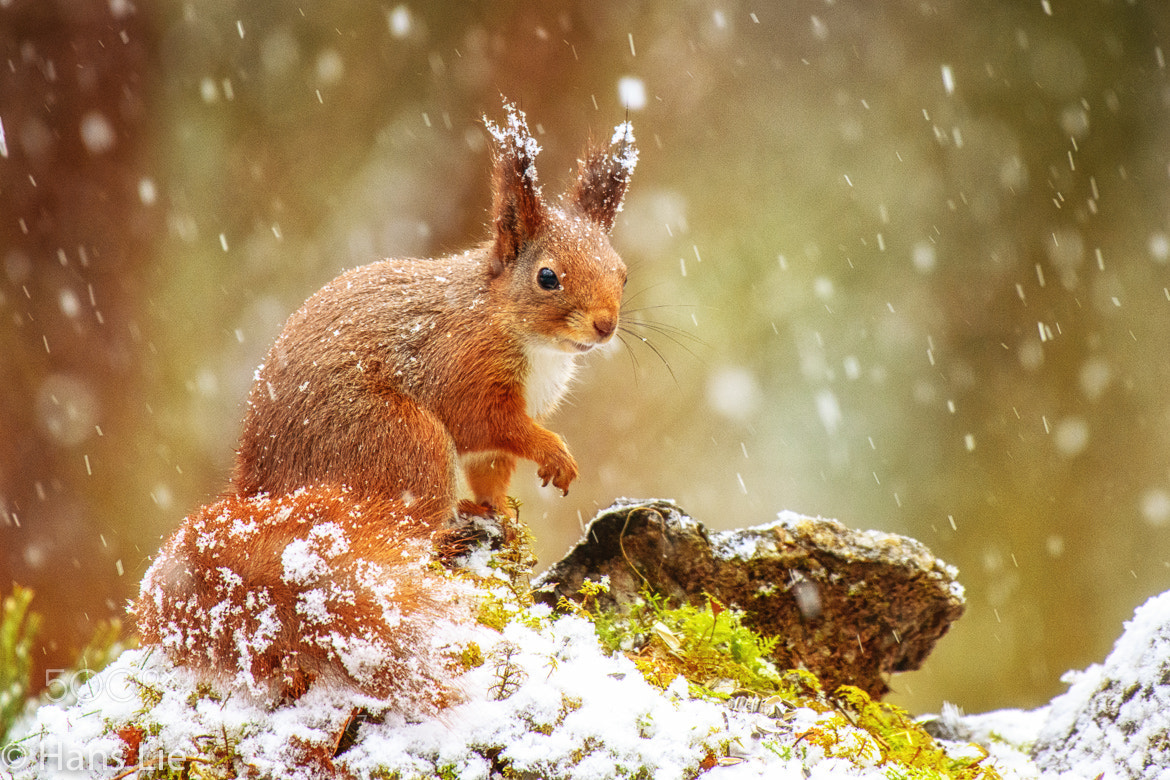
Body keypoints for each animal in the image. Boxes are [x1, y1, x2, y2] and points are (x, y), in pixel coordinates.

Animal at [134, 103, 638, 711]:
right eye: (548, 277)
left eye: (623, 273)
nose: (606, 325)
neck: (512, 326)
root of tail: (260, 492)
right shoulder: (461, 369)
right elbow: (491, 425)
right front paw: (553, 453)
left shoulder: (497, 431)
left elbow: (491, 469)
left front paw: (499, 516)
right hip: (404, 441)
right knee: (403, 532)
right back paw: (441, 539)